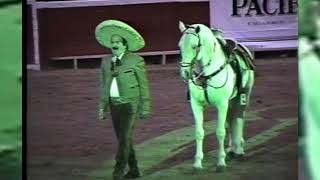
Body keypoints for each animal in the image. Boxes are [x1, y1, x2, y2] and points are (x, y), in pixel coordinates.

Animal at [178, 21, 255, 172]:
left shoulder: (222, 104)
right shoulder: (196, 105)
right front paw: (197, 163)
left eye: (195, 46)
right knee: (231, 119)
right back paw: (232, 149)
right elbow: (199, 133)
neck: (207, 73)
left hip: (244, 95)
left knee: (239, 118)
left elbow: (220, 132)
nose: (185, 73)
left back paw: (239, 150)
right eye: (179, 46)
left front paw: (221, 162)